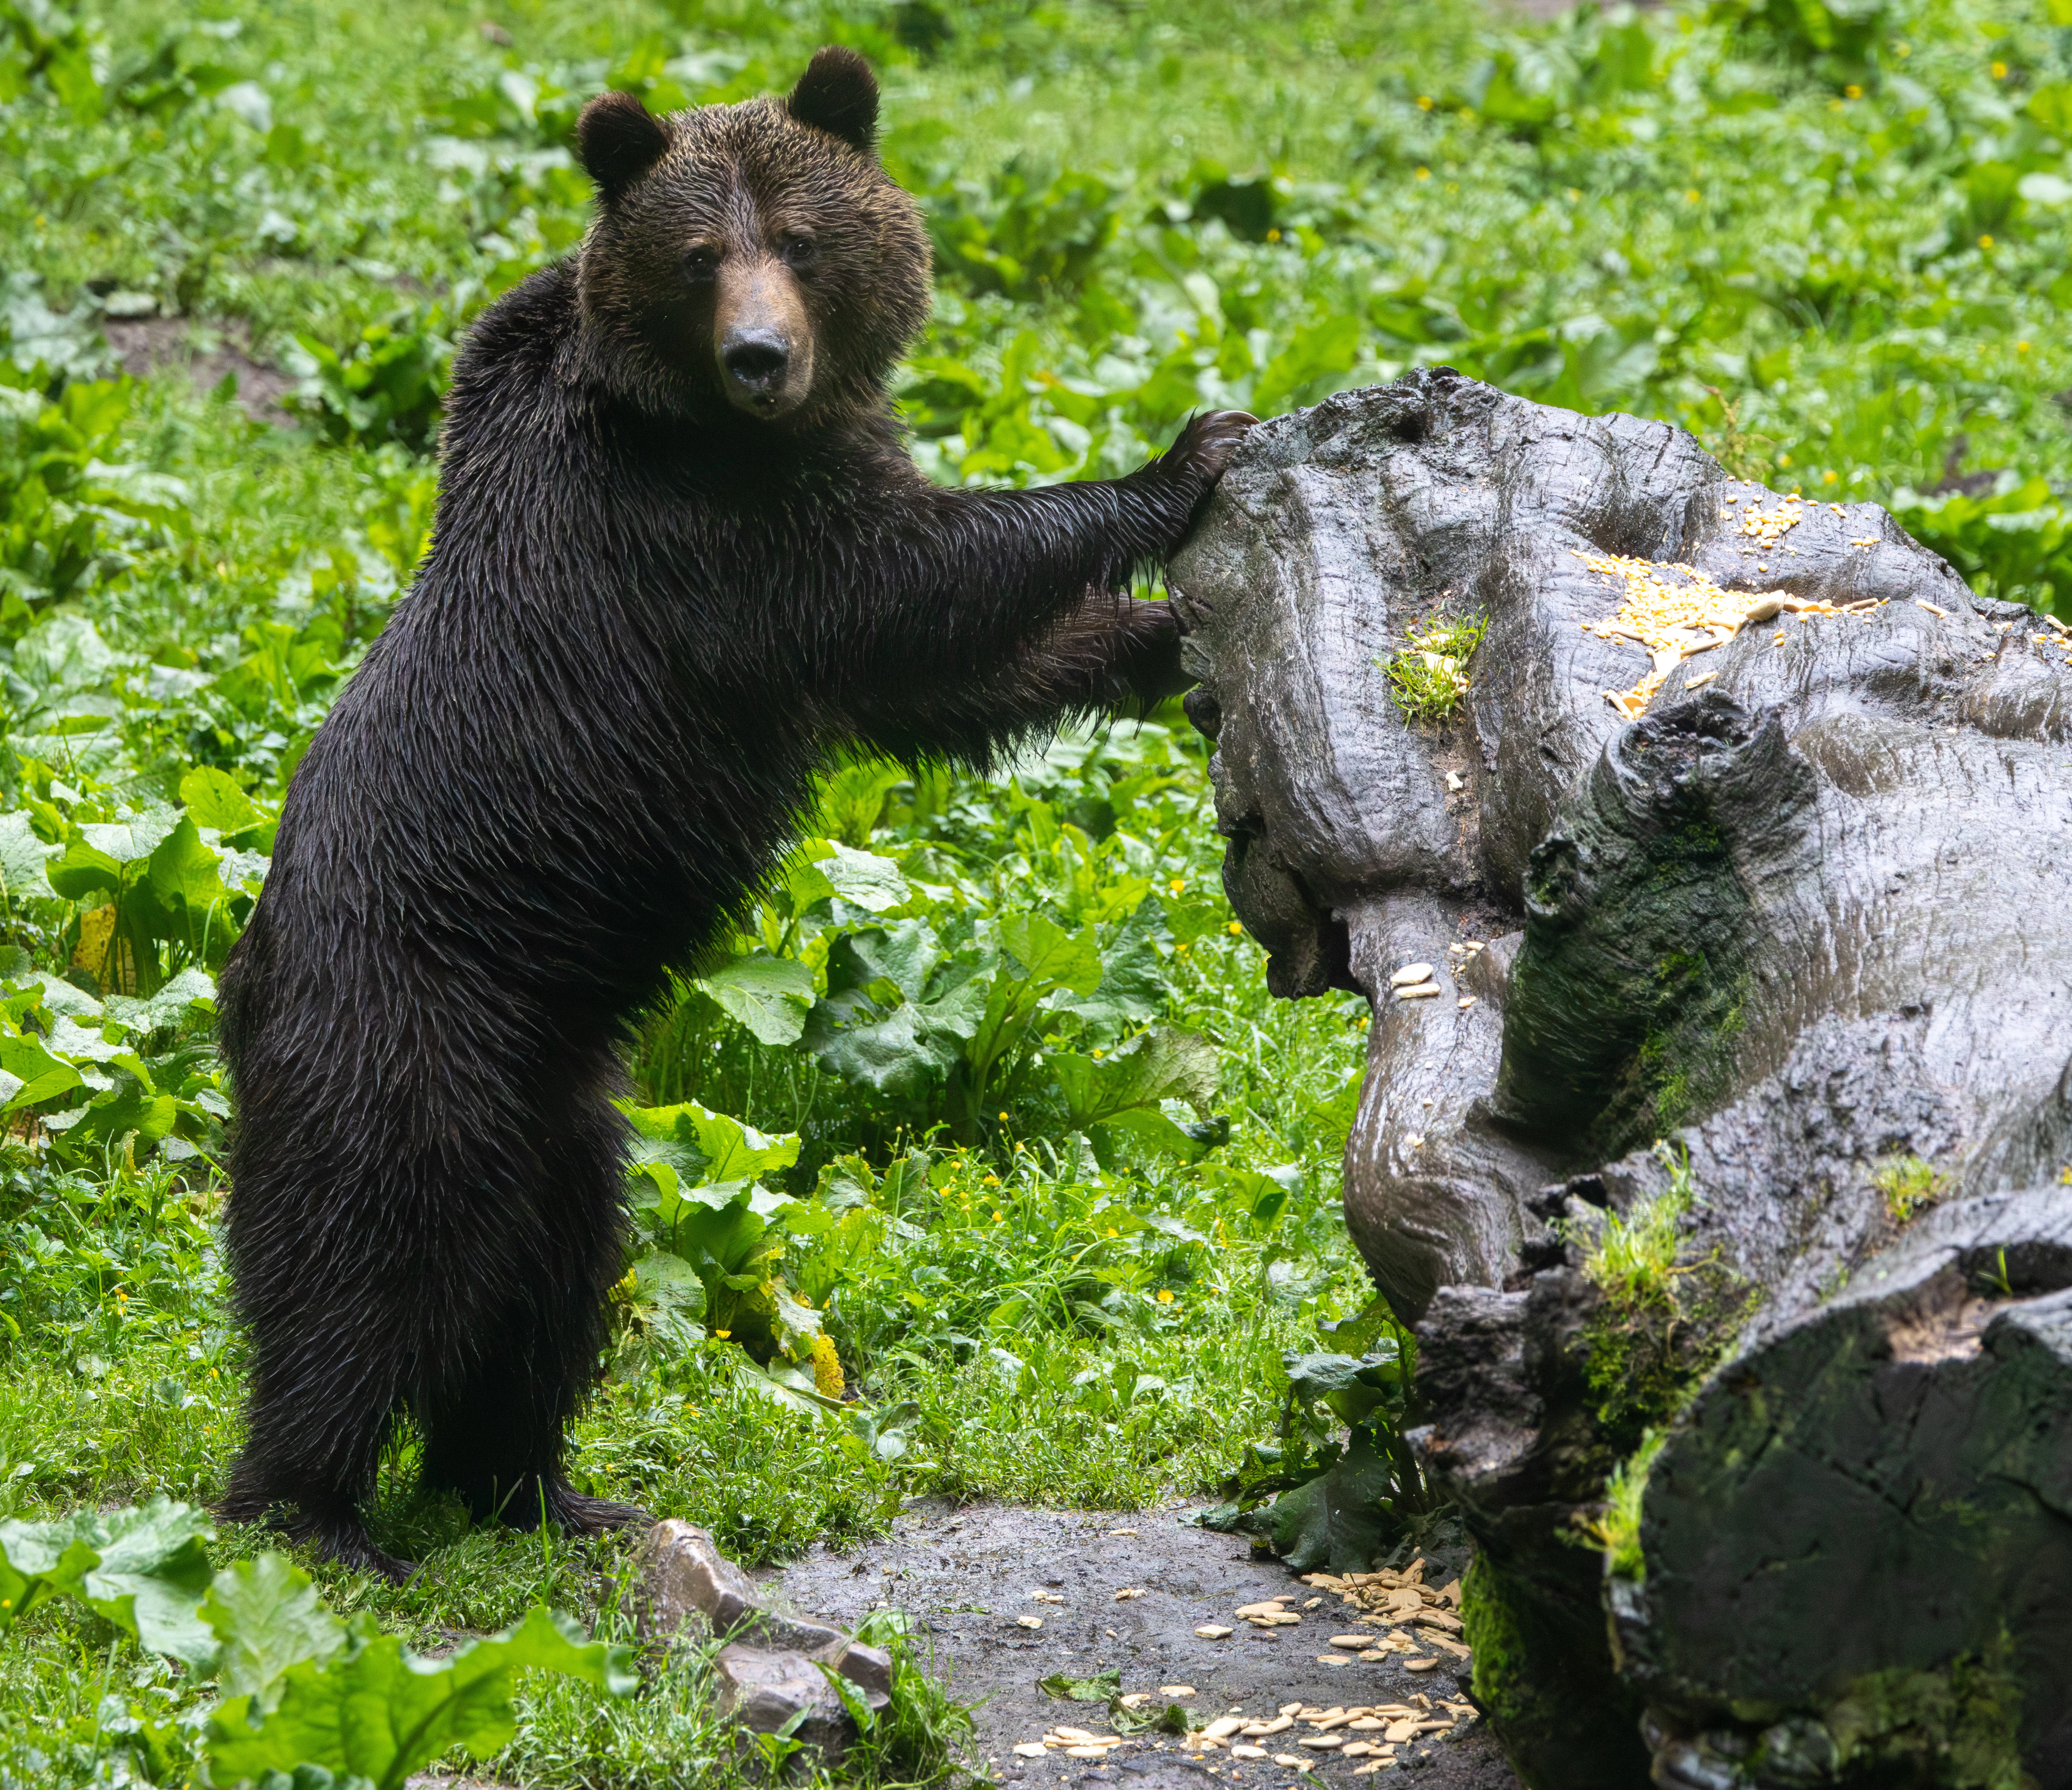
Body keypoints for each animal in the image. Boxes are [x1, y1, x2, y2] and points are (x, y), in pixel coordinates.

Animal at [215, 46, 1252, 1581]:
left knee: (552, 1283)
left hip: (566, 1113)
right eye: (703, 254)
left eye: (804, 241)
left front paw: (1157, 644)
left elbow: (936, 677)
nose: (763, 357)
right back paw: (316, 1512)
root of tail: (239, 977)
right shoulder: (702, 539)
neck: (692, 410)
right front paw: (1179, 457)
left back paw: (536, 1484)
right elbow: (912, 577)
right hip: (405, 1035)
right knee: (361, 1263)